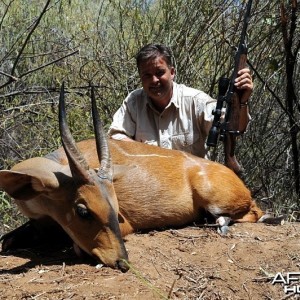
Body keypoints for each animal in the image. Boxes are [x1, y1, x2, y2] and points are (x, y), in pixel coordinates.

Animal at [0, 84, 270, 272]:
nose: (122, 261)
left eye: (115, 208)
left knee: (255, 212)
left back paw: (221, 223)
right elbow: (6, 240)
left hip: (217, 200)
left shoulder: (125, 225)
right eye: (83, 210)